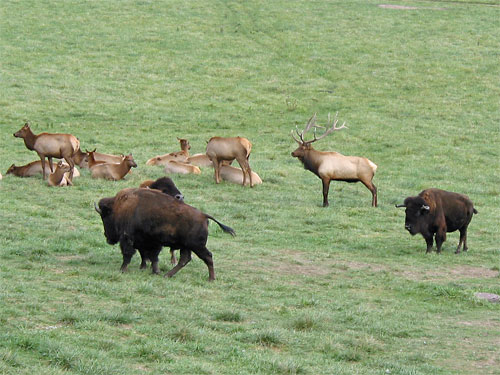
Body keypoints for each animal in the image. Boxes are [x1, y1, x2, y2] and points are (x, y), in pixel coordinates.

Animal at [94, 188, 235, 282]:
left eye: (104, 217)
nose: (108, 238)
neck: (120, 206)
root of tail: (204, 216)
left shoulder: (128, 238)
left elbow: (129, 254)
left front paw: (122, 270)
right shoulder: (151, 243)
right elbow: (152, 256)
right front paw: (155, 271)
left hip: (197, 246)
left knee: (208, 257)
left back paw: (211, 279)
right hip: (187, 246)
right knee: (185, 259)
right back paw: (167, 275)